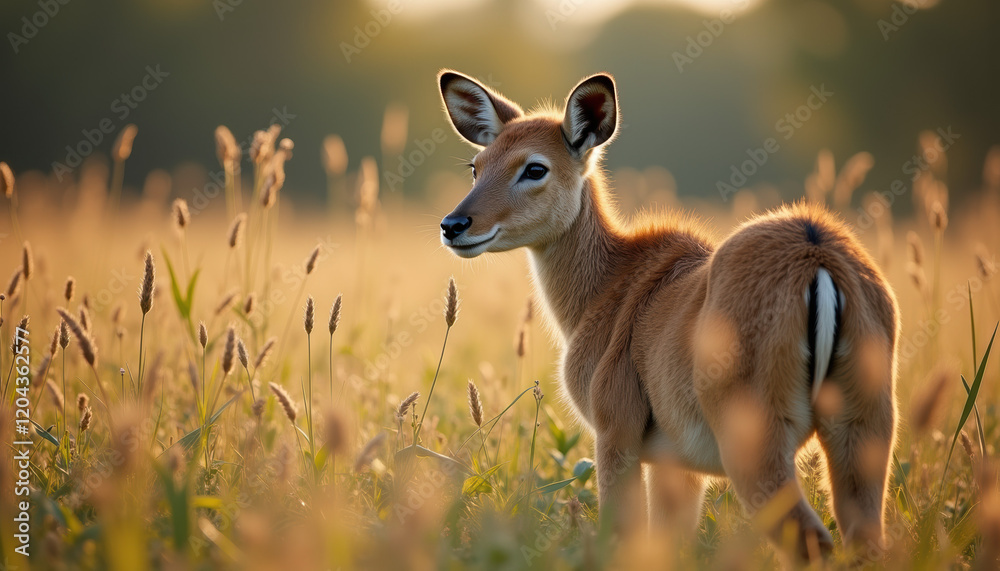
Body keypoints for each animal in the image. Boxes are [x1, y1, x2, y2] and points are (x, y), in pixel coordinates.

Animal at [436, 69, 899, 562]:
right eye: (476, 165)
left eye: (535, 167)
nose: (454, 225)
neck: (606, 287)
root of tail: (817, 257)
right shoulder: (677, 465)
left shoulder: (615, 436)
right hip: (862, 433)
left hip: (758, 448)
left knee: (812, 541)